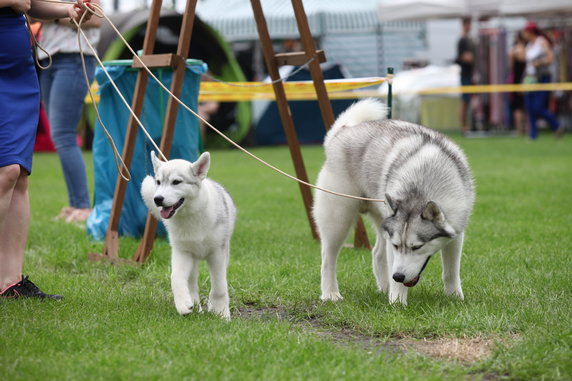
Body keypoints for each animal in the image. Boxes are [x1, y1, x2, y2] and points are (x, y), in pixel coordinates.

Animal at [142, 151, 236, 318]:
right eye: (158, 182)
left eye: (176, 182)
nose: (157, 199)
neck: (190, 215)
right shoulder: (182, 252)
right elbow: (176, 277)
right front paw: (183, 304)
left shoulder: (217, 253)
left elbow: (219, 285)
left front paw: (220, 311)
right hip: (192, 257)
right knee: (191, 282)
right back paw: (193, 303)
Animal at [312, 98, 474, 302]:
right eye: (398, 245)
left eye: (417, 247)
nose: (398, 276)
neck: (421, 185)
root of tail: (342, 132)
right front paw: (397, 302)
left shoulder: (456, 233)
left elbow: (451, 271)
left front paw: (454, 297)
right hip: (338, 220)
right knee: (328, 258)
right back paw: (330, 293)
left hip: (381, 219)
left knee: (377, 254)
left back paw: (384, 287)